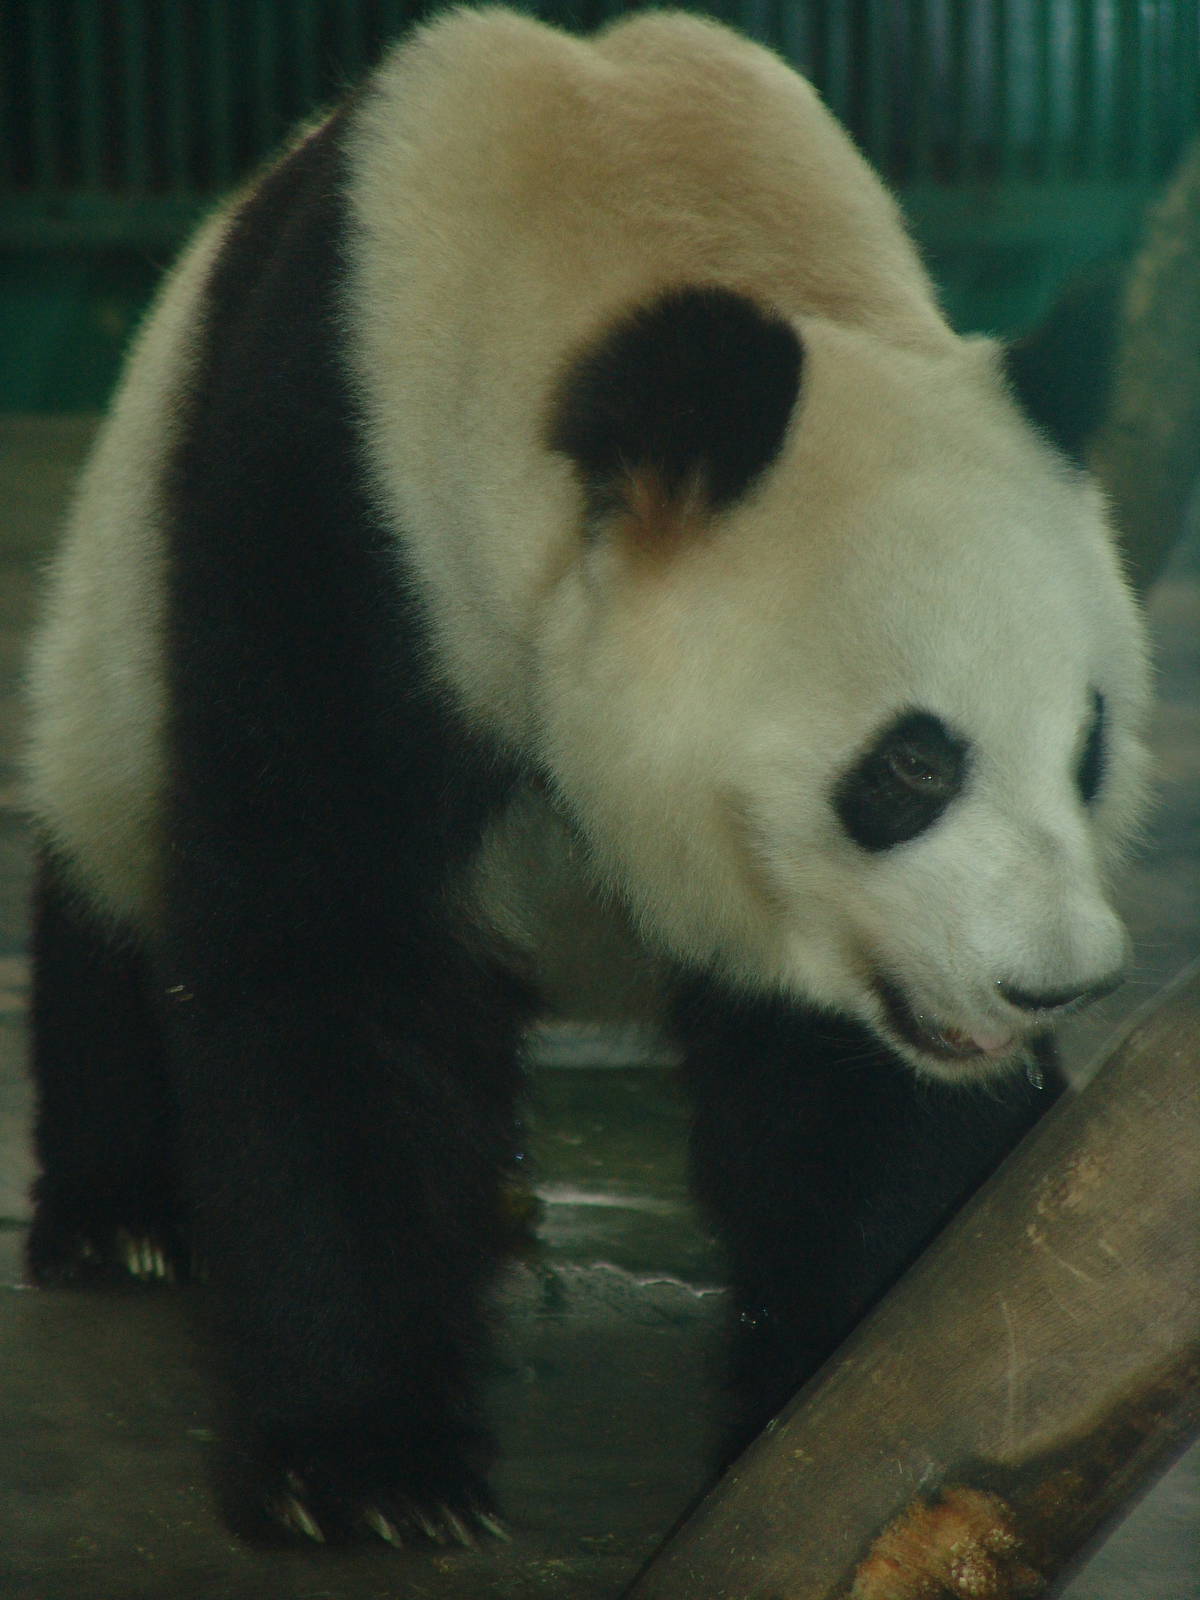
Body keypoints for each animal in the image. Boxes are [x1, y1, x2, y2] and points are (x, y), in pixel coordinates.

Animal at [24, 5, 1150, 1549]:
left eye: (1087, 742)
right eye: (912, 763)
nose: (1055, 985)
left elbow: (851, 1100)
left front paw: (835, 1396)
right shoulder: (342, 512)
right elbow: (325, 945)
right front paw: (366, 1470)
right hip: (119, 602)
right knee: (107, 855)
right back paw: (122, 1215)